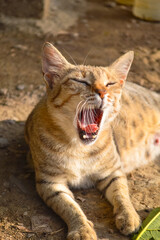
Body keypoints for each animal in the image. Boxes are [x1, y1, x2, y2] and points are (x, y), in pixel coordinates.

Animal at [24, 42, 160, 239]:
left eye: (110, 84)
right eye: (81, 81)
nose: (102, 92)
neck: (78, 147)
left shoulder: (113, 171)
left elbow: (122, 194)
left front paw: (129, 216)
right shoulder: (49, 183)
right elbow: (70, 207)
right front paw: (82, 229)